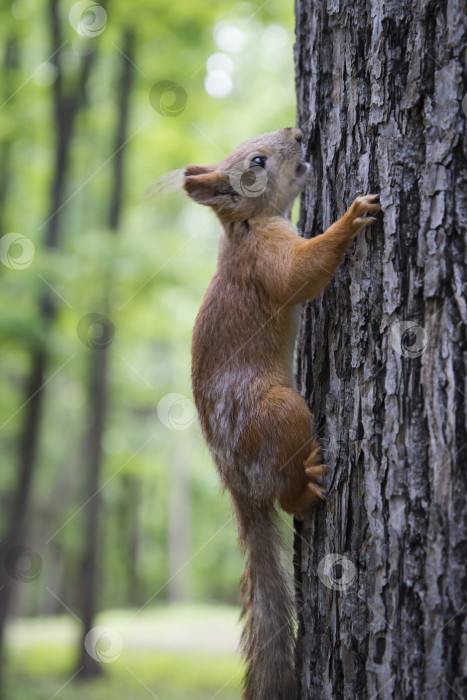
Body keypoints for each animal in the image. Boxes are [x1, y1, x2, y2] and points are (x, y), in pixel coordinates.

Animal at [183, 127, 380, 700]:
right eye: (256, 161)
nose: (298, 132)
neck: (245, 228)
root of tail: (236, 483)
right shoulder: (266, 261)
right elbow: (301, 275)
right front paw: (350, 217)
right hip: (280, 412)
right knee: (288, 493)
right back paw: (305, 487)